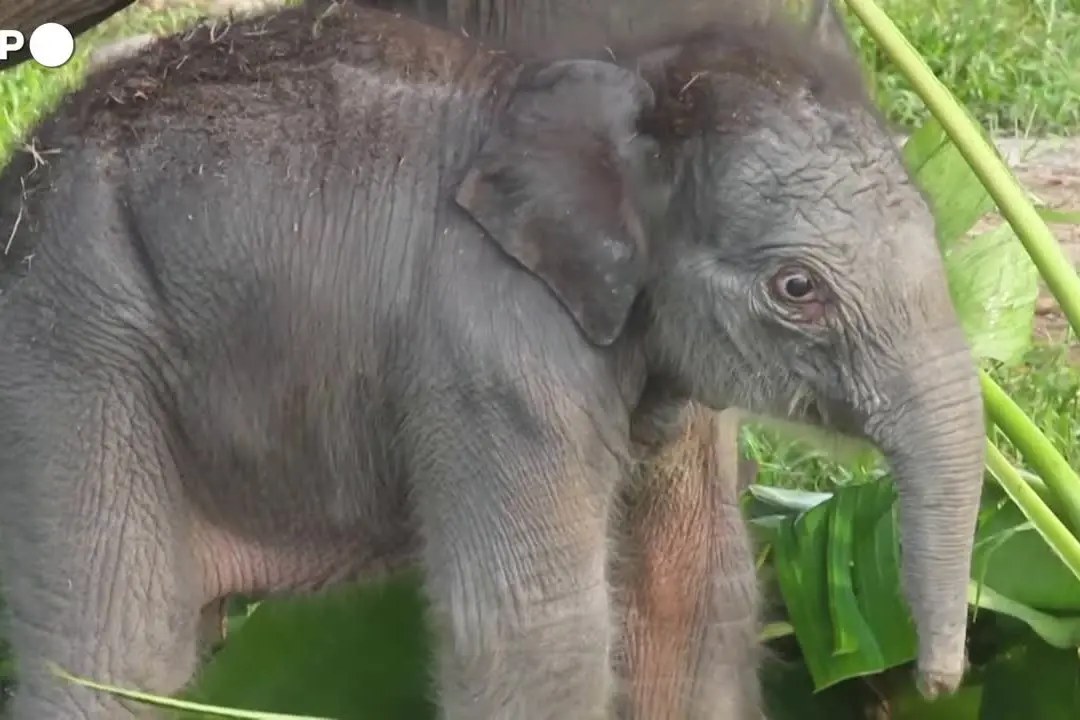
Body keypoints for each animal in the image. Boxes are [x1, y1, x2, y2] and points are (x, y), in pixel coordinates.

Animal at [0, 0, 986, 719]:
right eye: (797, 287)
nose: (936, 681)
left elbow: (689, 590)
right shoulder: (496, 352)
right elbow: (536, 632)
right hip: (75, 345)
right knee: (117, 651)